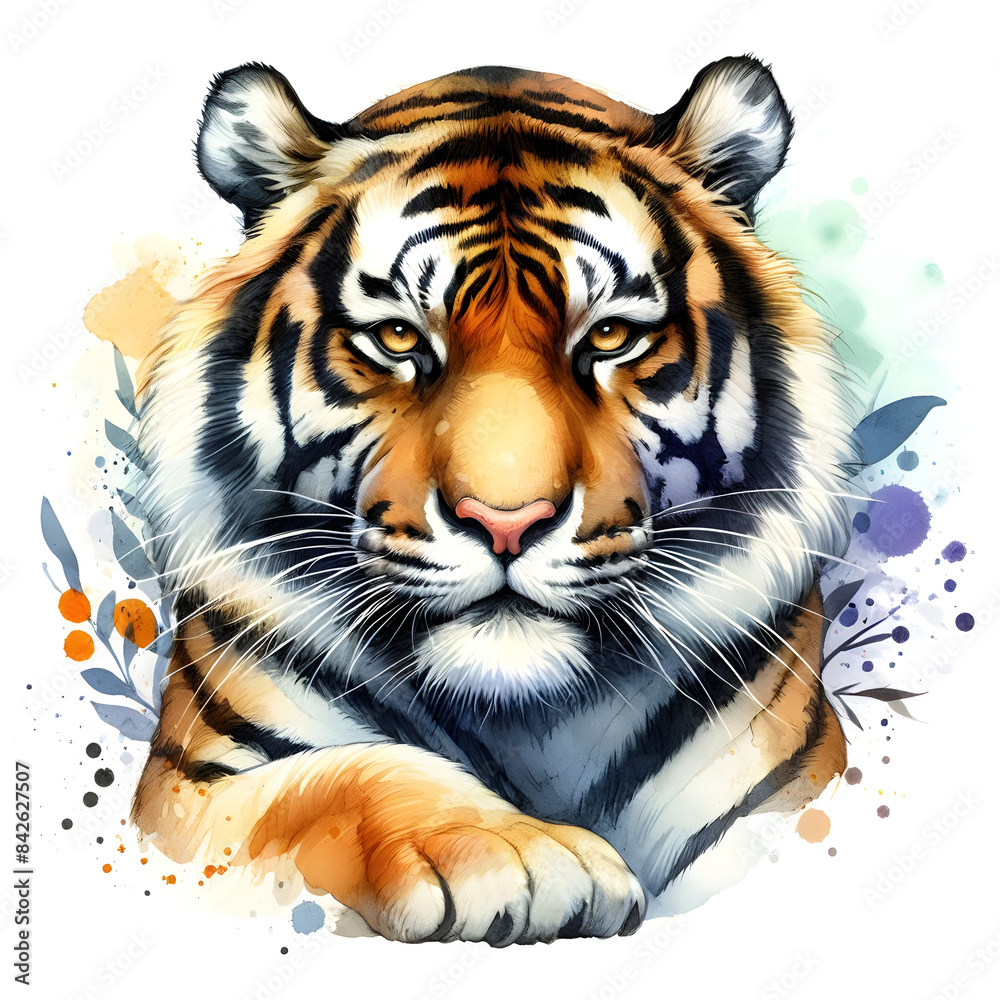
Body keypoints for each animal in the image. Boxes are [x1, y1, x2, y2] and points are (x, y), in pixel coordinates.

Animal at [130, 55, 858, 945]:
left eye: (610, 337)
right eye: (399, 338)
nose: (506, 523)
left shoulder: (777, 797)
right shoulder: (187, 797)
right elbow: (333, 778)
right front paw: (525, 855)